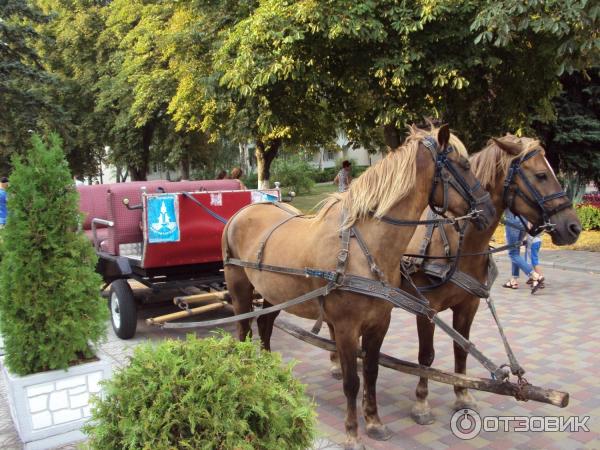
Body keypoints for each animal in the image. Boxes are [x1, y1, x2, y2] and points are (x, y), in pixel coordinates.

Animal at [223, 125, 494, 448]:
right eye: (464, 165)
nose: (488, 211)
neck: (362, 248)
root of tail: (241, 213)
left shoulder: (379, 323)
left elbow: (372, 372)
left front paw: (374, 422)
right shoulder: (345, 327)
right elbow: (352, 382)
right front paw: (352, 433)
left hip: (273, 295)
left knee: (264, 326)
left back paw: (270, 376)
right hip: (240, 290)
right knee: (243, 331)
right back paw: (249, 375)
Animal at [404, 135, 580, 424]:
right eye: (541, 175)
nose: (574, 228)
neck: (454, 240)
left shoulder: (468, 305)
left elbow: (461, 349)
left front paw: (463, 395)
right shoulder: (425, 308)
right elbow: (426, 356)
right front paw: (421, 403)